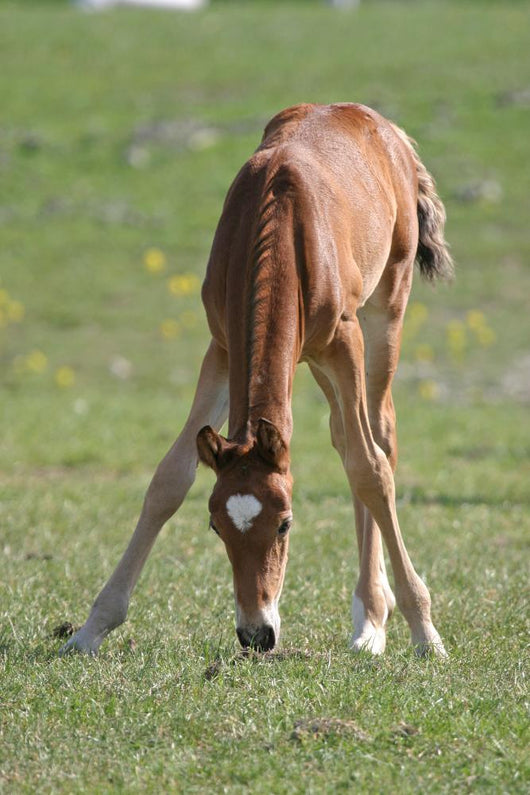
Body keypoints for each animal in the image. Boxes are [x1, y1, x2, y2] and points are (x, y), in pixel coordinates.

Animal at [60, 103, 453, 658]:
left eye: (286, 523)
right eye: (215, 524)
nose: (256, 635)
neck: (278, 222)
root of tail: (387, 128)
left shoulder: (344, 341)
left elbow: (370, 470)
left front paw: (425, 634)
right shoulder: (222, 347)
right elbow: (169, 478)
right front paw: (92, 627)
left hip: (383, 315)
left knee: (380, 438)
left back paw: (373, 619)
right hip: (311, 360)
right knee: (342, 435)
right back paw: (370, 616)